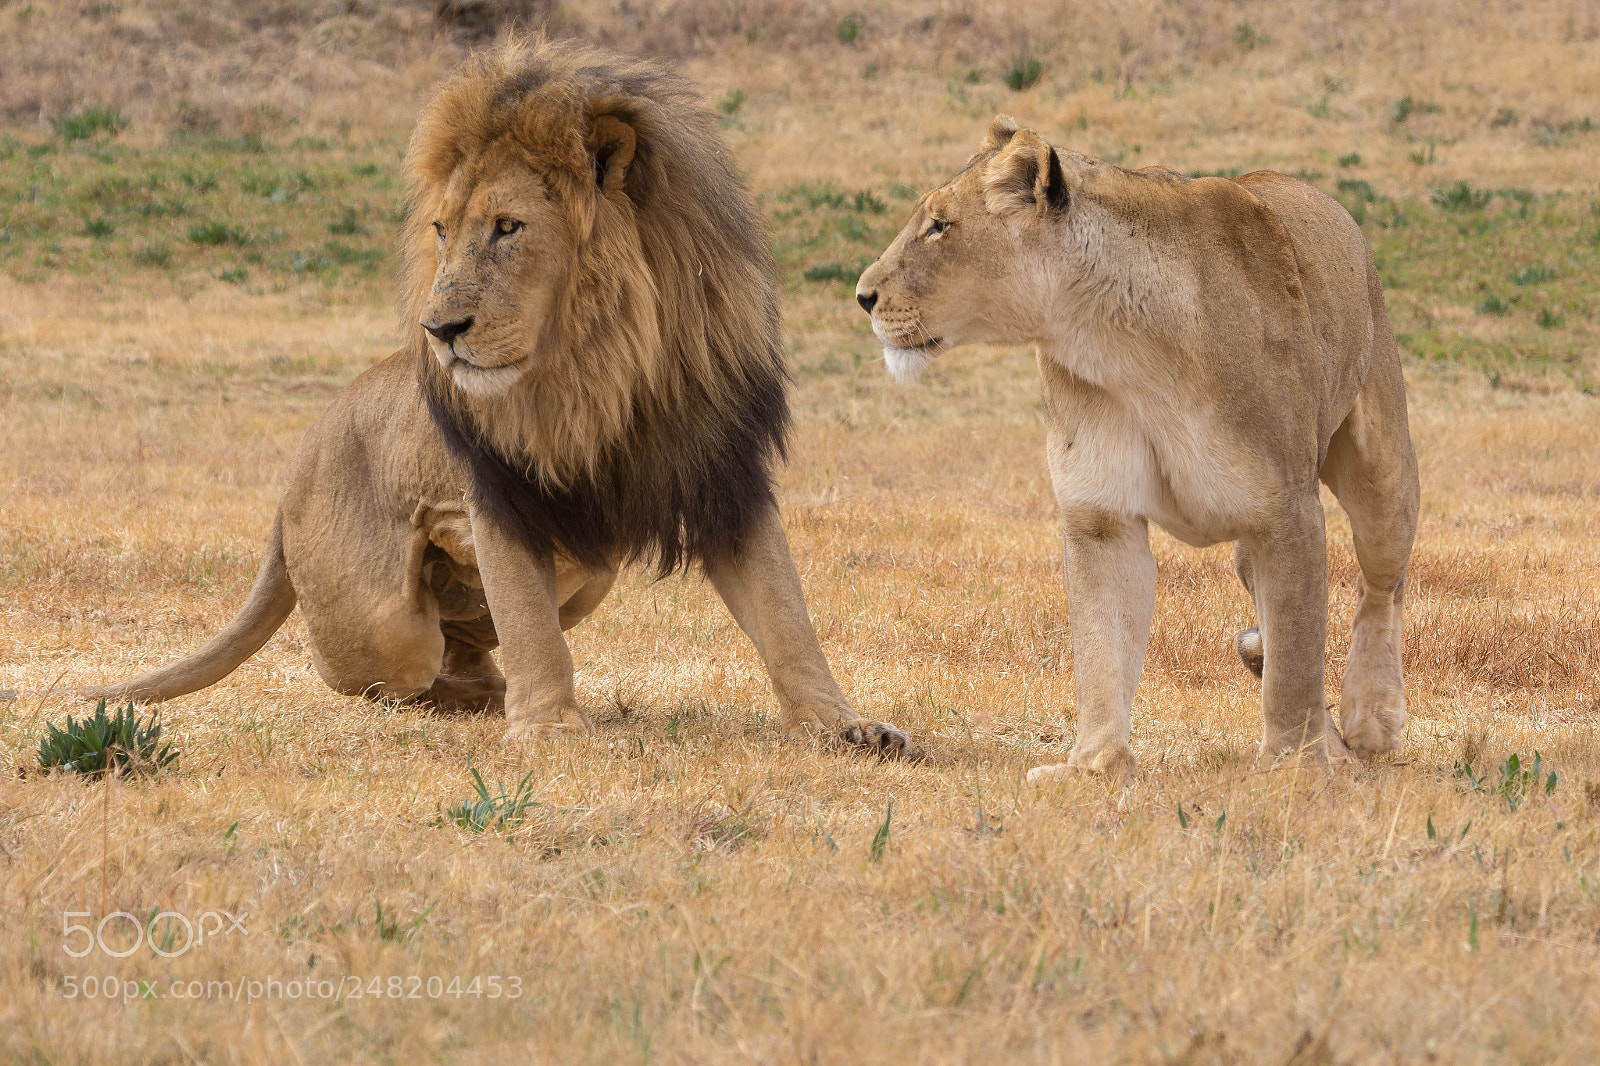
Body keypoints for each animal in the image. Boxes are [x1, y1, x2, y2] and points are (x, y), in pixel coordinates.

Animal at [15, 39, 919, 760]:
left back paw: (490, 690)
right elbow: (530, 625)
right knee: (384, 670)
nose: (440, 328)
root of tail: (288, 481)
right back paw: (486, 697)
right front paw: (548, 726)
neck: (605, 367)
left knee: (475, 642)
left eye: (509, 227)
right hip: (384, 617)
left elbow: (786, 617)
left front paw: (845, 725)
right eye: (443, 230)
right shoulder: (501, 493)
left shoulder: (718, 471)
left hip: (588, 570)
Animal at [855, 117, 1419, 778]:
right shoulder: (1101, 514)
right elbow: (1103, 644)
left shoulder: (1287, 511)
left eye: (940, 225)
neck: (1115, 344)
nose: (862, 295)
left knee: (1380, 587)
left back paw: (1370, 720)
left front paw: (1294, 765)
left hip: (1382, 472)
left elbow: (1299, 654)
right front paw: (1091, 766)